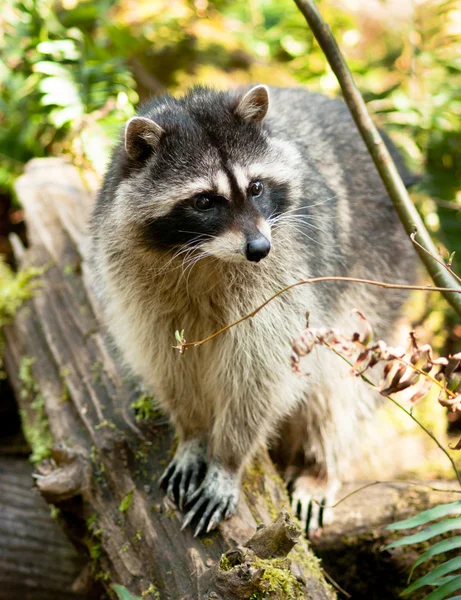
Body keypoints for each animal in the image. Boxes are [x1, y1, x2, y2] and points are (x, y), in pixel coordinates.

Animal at [90, 83, 414, 536]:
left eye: (257, 187)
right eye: (204, 201)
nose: (259, 248)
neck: (205, 255)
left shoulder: (285, 276)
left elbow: (259, 374)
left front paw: (228, 460)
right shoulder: (136, 283)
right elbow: (168, 362)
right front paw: (193, 432)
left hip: (378, 273)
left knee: (338, 386)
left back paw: (319, 467)